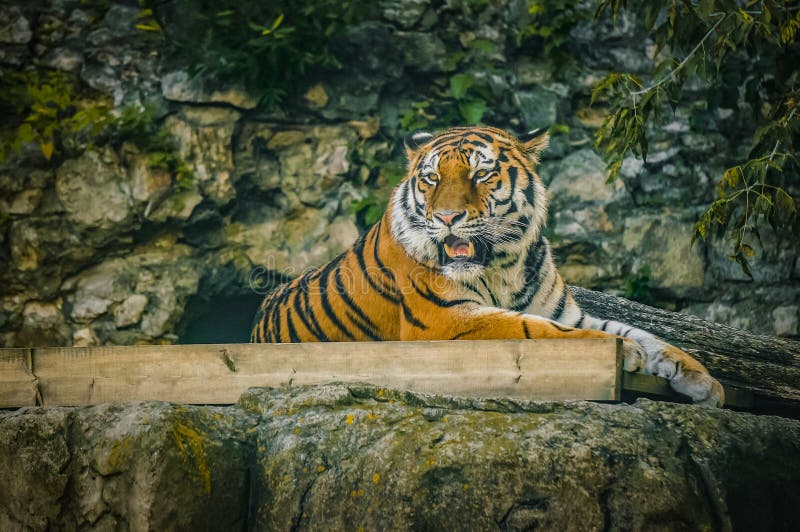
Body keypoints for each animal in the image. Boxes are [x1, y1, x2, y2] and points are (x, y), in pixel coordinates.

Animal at [253, 125, 728, 408]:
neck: (504, 264)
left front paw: (704, 380)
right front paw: (624, 352)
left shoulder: (567, 312)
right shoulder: (447, 320)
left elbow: (646, 333)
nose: (447, 217)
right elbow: (535, 330)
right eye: (431, 178)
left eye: (480, 175)